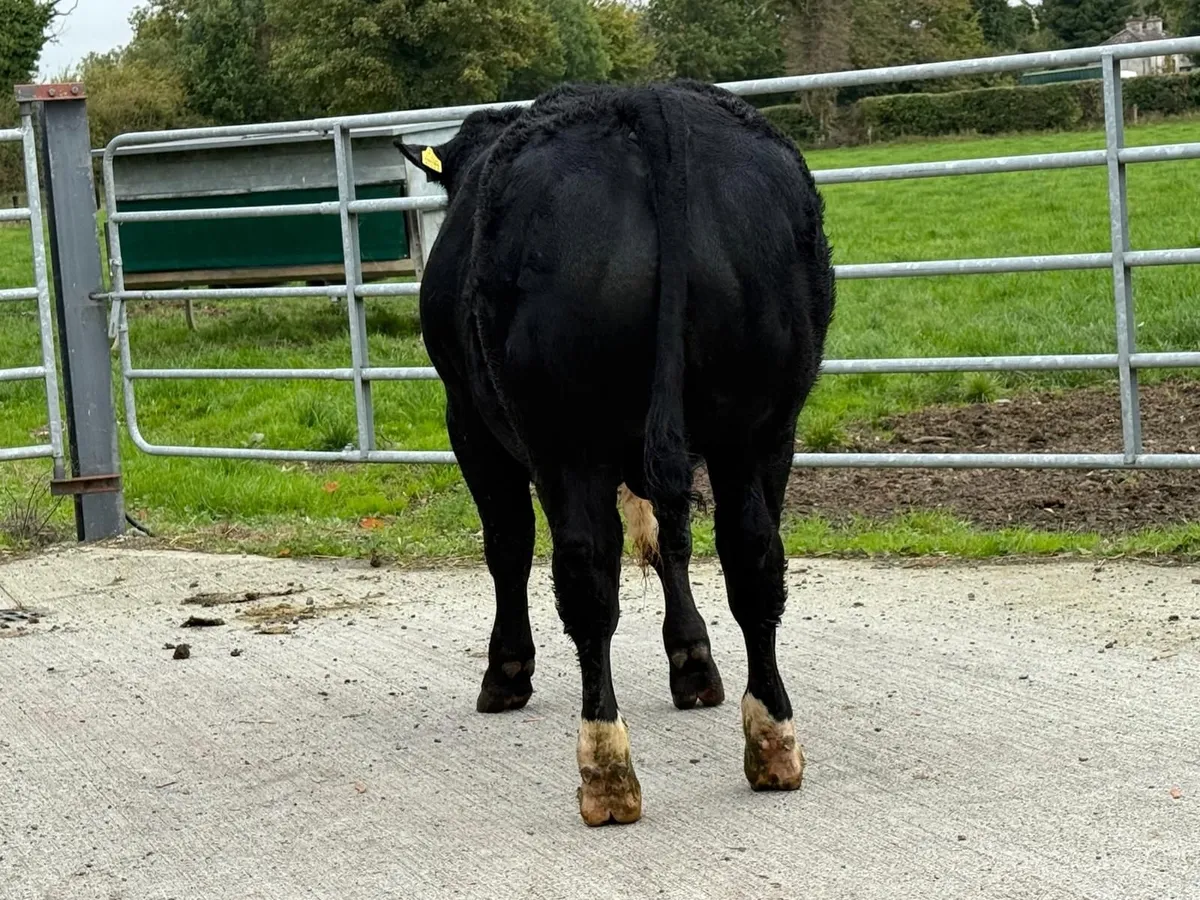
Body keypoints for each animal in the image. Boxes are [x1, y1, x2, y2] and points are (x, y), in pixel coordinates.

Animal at [397, 81, 835, 826]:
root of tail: (647, 102)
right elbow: (668, 540)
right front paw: (692, 661)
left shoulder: (469, 421)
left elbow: (508, 544)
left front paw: (507, 669)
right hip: (763, 427)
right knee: (753, 557)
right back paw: (773, 741)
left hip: (567, 437)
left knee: (586, 576)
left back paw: (605, 767)